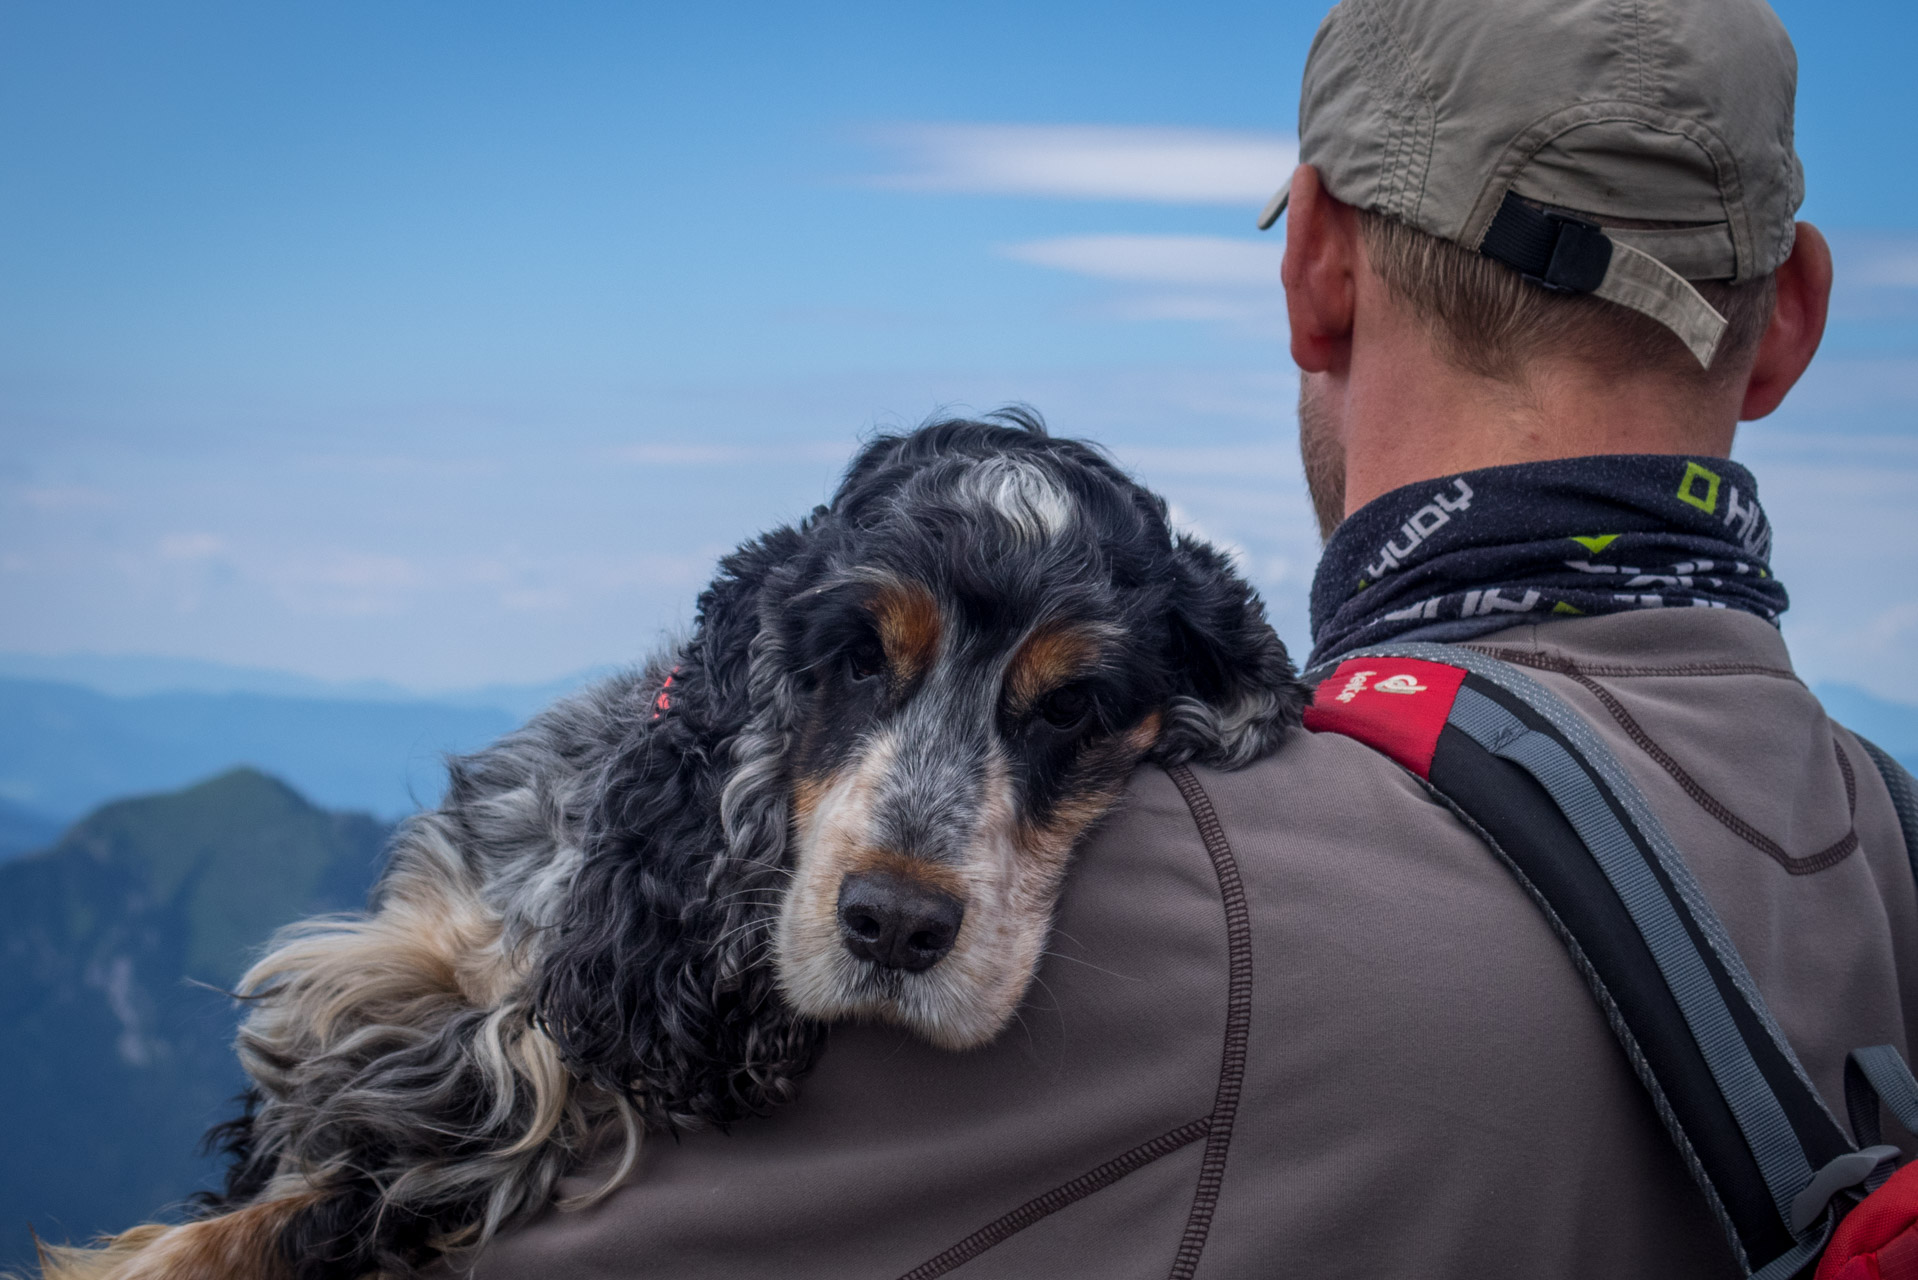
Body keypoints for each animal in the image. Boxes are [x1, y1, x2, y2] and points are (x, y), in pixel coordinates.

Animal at [37, 410, 1311, 1280]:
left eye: (1072, 707)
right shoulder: (410, 970)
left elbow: (344, 1192)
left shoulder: (505, 1112)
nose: (894, 925)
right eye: (856, 657)